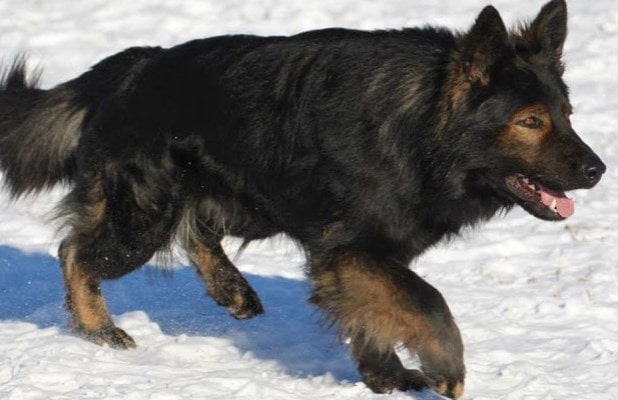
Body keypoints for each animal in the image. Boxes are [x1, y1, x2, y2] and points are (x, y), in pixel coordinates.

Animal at [0, 0, 605, 398]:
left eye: (567, 115)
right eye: (530, 122)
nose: (598, 170)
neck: (420, 127)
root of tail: (134, 64)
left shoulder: (358, 256)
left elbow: (375, 312)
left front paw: (385, 376)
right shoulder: (349, 249)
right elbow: (427, 301)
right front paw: (444, 368)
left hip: (238, 201)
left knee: (198, 232)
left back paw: (232, 290)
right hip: (143, 219)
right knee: (77, 252)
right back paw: (97, 330)